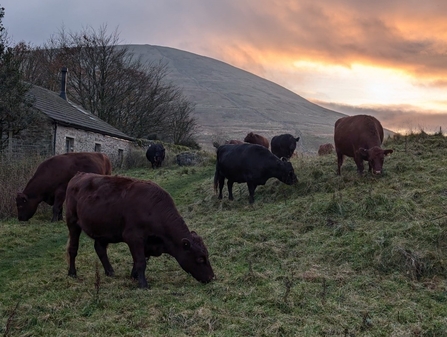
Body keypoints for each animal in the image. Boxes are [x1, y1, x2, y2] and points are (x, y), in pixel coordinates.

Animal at [64, 172, 215, 288]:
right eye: (200, 259)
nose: (211, 277)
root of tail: (79, 175)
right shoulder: (134, 238)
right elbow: (141, 261)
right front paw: (143, 284)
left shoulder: (147, 243)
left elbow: (139, 261)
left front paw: (134, 276)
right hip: (72, 223)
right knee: (73, 248)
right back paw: (72, 273)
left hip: (102, 231)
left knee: (100, 249)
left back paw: (110, 271)